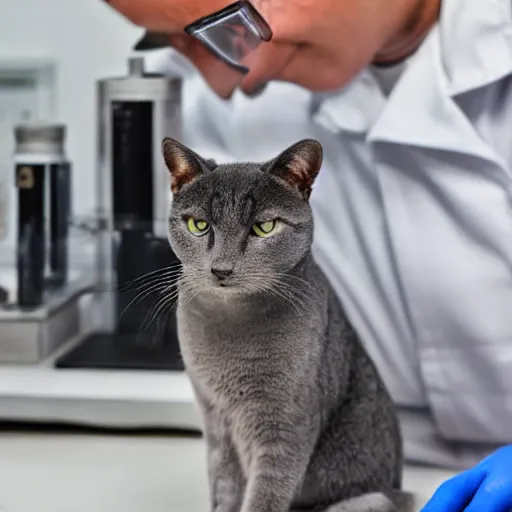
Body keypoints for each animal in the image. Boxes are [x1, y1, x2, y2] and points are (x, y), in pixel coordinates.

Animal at [162, 137, 414, 512]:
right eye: (199, 225)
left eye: (264, 227)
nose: (221, 269)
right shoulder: (216, 421)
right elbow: (225, 490)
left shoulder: (285, 426)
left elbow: (266, 496)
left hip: (369, 499)